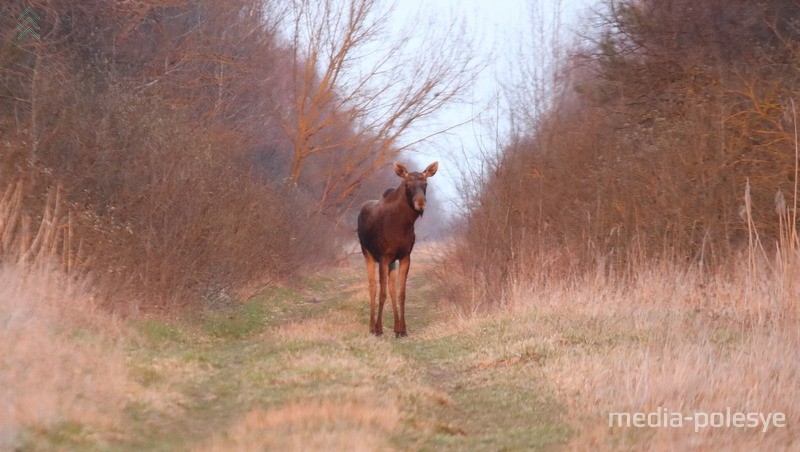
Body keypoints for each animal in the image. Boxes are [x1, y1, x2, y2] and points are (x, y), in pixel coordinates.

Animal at [360, 162, 440, 336]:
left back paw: (396, 327)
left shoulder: (405, 256)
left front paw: (402, 329)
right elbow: (382, 293)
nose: (420, 203)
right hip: (367, 254)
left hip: (392, 261)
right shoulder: (383, 257)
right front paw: (379, 329)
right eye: (407, 185)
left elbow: (401, 293)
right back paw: (371, 327)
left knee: (391, 288)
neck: (402, 225)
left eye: (425, 184)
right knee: (373, 287)